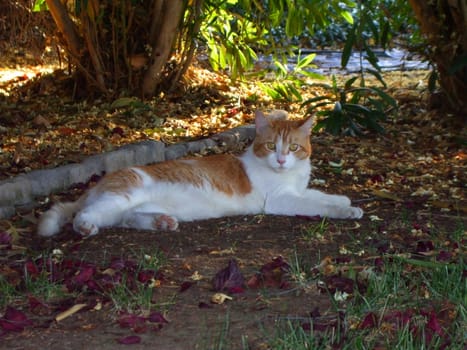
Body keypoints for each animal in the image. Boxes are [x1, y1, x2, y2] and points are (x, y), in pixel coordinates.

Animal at [38, 110, 364, 237]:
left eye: (294, 147)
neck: (288, 175)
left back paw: (162, 222)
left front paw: (344, 200)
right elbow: (316, 204)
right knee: (84, 215)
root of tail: (97, 184)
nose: (282, 160)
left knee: (127, 219)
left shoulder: (297, 189)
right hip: (119, 197)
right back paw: (85, 227)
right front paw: (346, 210)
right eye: (272, 146)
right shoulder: (281, 200)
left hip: (124, 209)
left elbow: (319, 194)